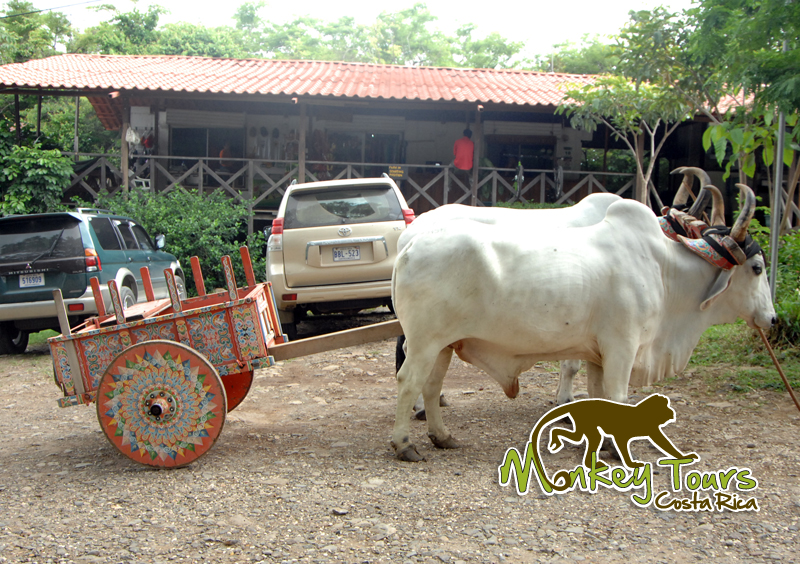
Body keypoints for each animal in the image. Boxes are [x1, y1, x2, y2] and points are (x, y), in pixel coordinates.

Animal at [530, 394, 698, 493]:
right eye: (666, 407)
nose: (672, 412)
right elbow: (622, 441)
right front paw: (630, 463)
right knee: (588, 437)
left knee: (583, 436)